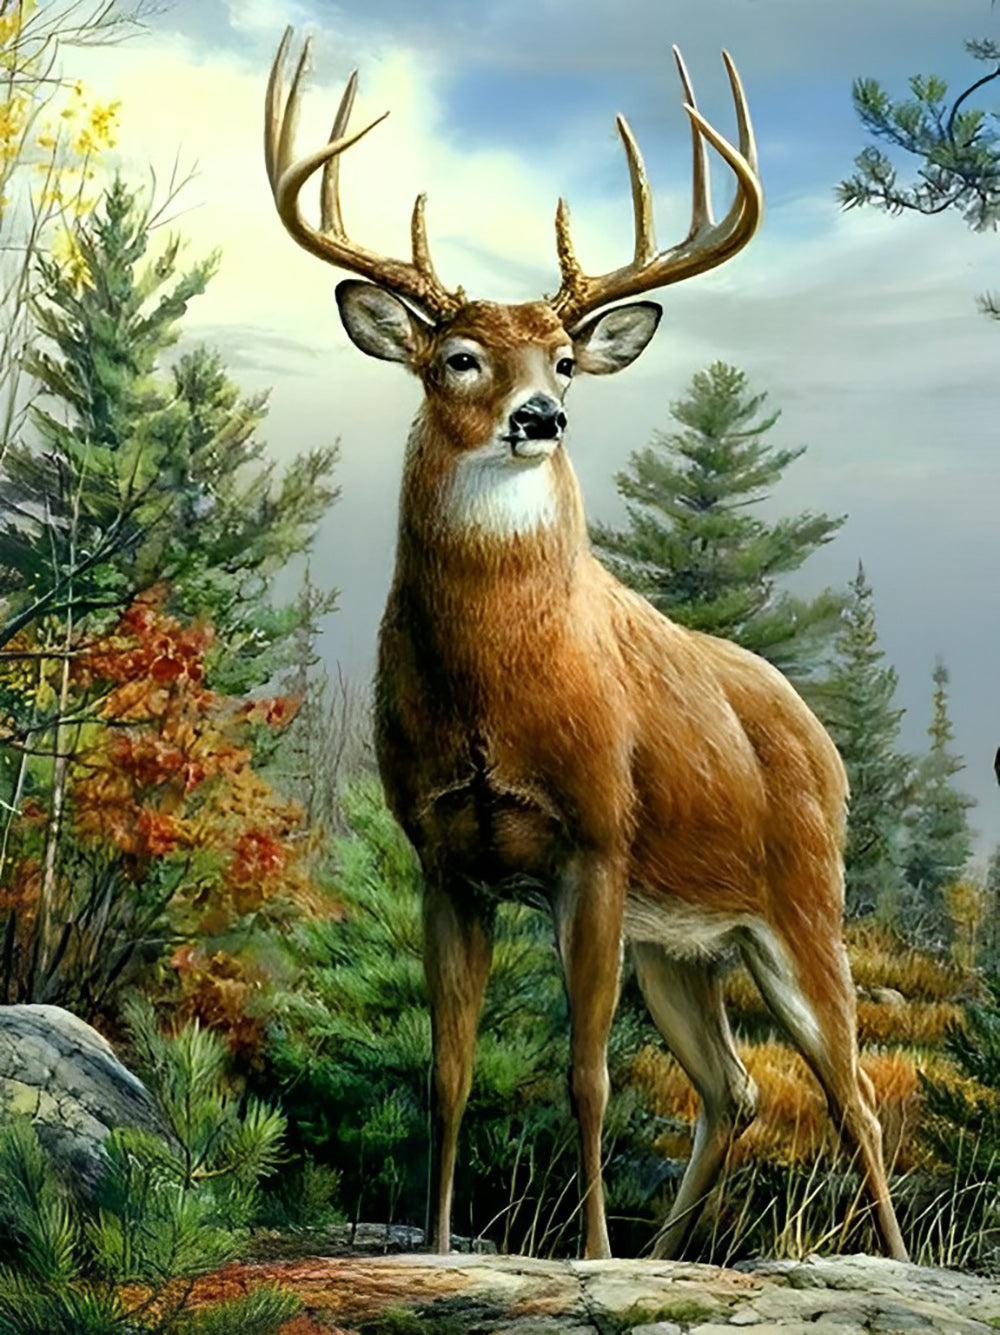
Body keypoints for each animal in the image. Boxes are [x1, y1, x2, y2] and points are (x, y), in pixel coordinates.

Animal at [264, 27, 908, 1264]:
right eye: (459, 356)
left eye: (563, 359)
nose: (540, 419)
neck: (492, 694)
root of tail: (818, 735)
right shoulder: (444, 853)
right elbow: (449, 1073)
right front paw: (438, 1246)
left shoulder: (598, 840)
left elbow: (587, 1077)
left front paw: (595, 1258)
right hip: (683, 943)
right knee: (733, 1089)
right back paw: (672, 1254)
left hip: (803, 902)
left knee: (849, 1093)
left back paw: (880, 1262)